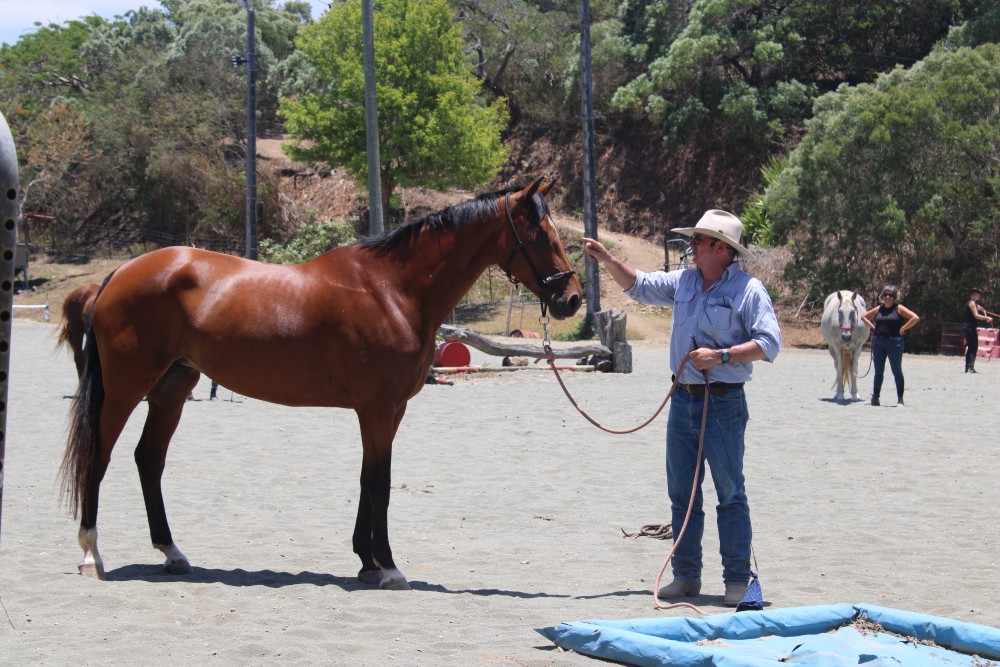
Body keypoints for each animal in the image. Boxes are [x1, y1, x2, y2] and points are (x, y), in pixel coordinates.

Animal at [59, 179, 582, 590]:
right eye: (540, 234)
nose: (572, 299)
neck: (393, 290)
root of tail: (119, 274)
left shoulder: (389, 410)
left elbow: (368, 478)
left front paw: (367, 562)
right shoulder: (377, 408)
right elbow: (380, 483)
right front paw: (389, 567)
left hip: (172, 388)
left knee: (148, 459)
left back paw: (172, 553)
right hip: (126, 388)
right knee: (100, 456)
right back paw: (91, 555)